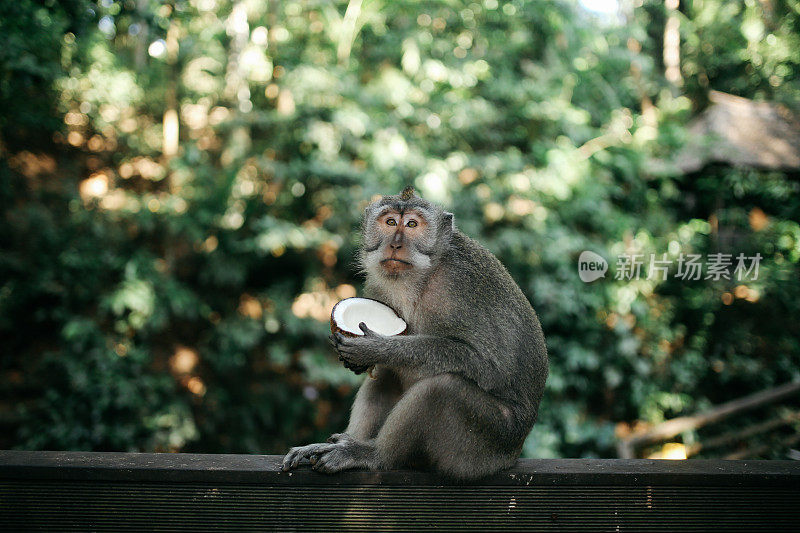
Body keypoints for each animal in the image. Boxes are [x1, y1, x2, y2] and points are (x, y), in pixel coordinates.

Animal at [282, 187, 552, 478]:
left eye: (412, 225)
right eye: (390, 222)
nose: (395, 244)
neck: (423, 275)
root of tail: (512, 454)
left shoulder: (462, 285)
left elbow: (488, 366)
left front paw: (378, 348)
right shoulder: (378, 285)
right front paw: (358, 361)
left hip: (484, 447)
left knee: (440, 389)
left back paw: (371, 454)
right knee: (387, 376)